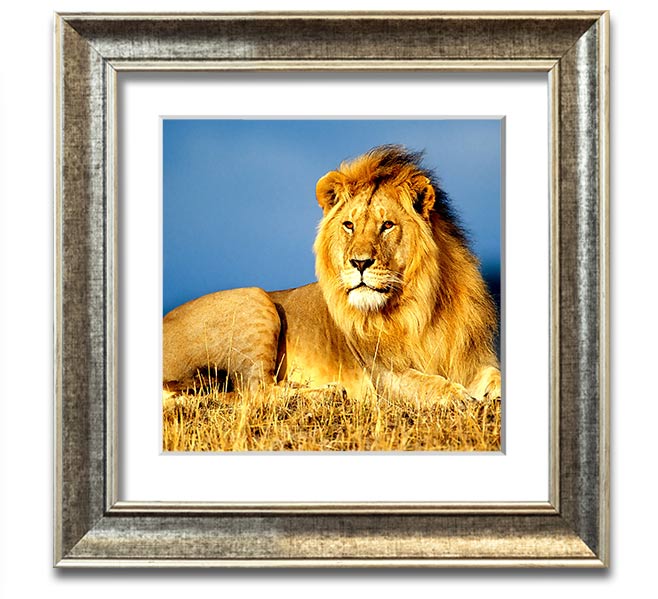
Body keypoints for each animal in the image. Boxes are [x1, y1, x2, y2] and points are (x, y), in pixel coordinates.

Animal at [163, 145, 501, 404]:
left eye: (387, 225)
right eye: (349, 225)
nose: (360, 263)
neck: (421, 306)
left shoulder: (474, 359)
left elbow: (495, 376)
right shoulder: (384, 374)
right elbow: (429, 384)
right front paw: (460, 397)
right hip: (253, 299)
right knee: (255, 391)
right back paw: (328, 392)